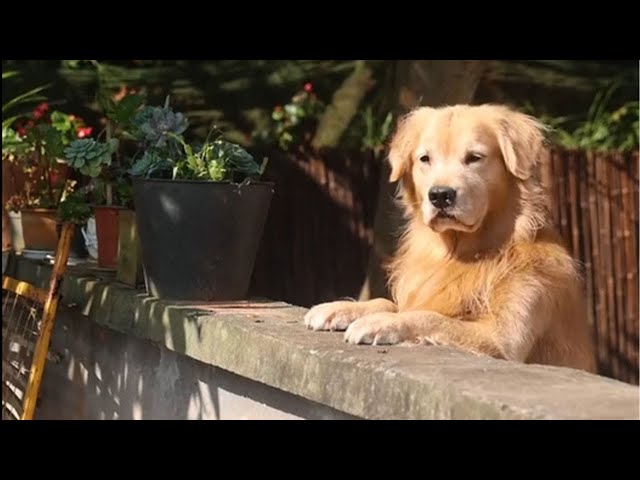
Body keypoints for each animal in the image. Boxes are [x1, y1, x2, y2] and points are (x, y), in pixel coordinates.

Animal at [304, 104, 596, 372]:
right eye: (425, 159)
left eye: (475, 157)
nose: (440, 195)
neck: (461, 253)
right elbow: (389, 302)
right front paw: (340, 308)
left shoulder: (503, 339)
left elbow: (430, 317)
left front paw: (381, 322)